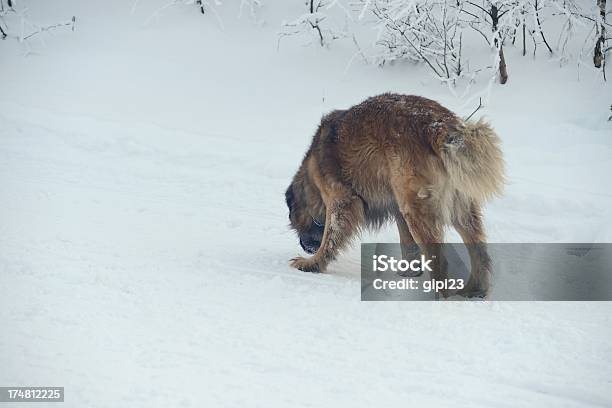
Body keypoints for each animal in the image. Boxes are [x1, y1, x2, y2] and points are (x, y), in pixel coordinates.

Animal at [284, 92, 504, 296]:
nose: (304, 246)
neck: (311, 173)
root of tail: (438, 126)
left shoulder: (341, 199)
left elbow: (330, 236)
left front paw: (313, 263)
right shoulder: (395, 205)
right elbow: (406, 242)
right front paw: (409, 272)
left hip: (416, 207)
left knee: (439, 257)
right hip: (457, 205)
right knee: (478, 248)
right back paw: (475, 289)